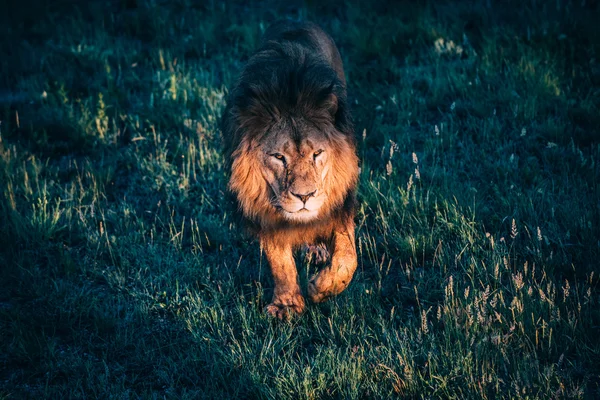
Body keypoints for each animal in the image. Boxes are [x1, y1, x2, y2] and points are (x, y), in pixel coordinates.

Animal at [221, 20, 358, 318]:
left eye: (317, 154)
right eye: (278, 157)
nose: (304, 196)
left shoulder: (340, 197)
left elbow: (347, 256)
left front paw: (322, 288)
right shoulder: (261, 202)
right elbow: (279, 259)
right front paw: (287, 305)